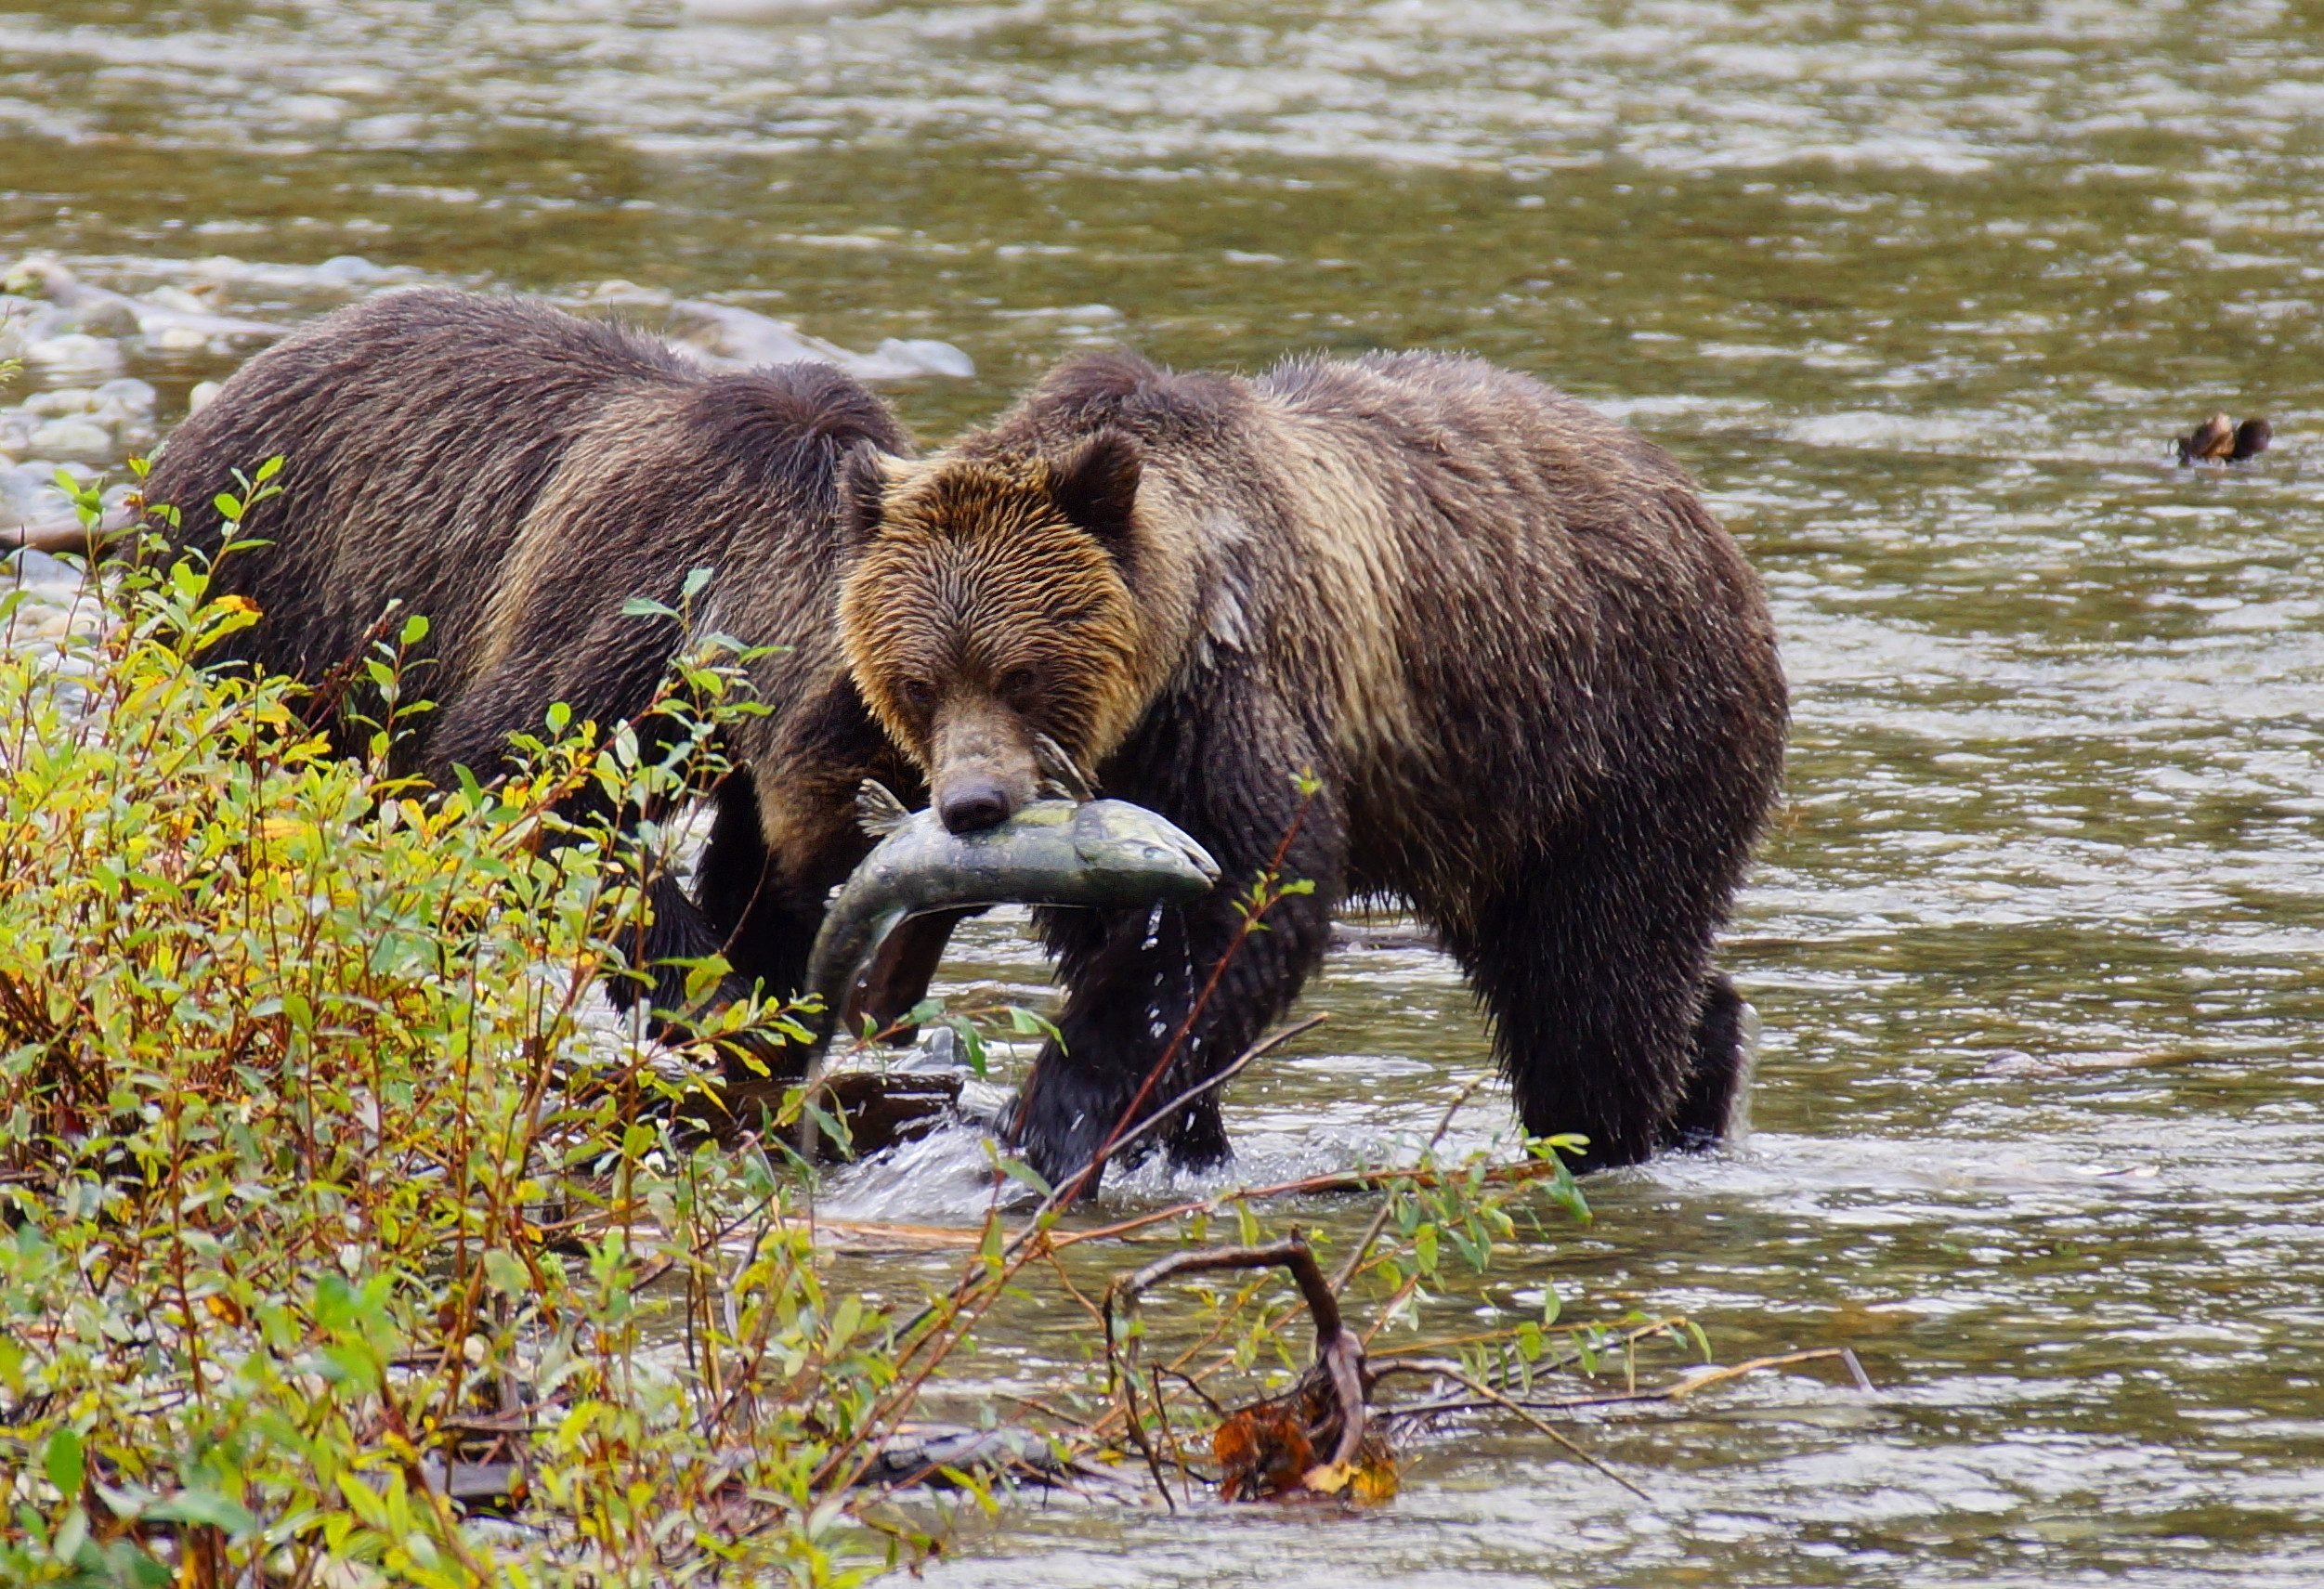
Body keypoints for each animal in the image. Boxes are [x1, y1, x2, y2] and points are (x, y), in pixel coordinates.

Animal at [143, 287, 925, 1027]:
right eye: (867, 839)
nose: (890, 1000)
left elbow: (745, 865)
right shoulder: (635, 601)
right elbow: (525, 775)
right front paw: (709, 992)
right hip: (257, 605)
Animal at [833, 348, 1788, 1190]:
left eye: (1021, 674)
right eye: (918, 681)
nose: (974, 804)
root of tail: (1703, 516)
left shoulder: (1236, 696)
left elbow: (1245, 897)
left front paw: (1056, 1120)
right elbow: (1111, 935)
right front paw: (1182, 1135)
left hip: (1618, 735)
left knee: (1597, 976)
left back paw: (1607, 1134)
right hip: (1487, 807)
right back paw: (1708, 1067)